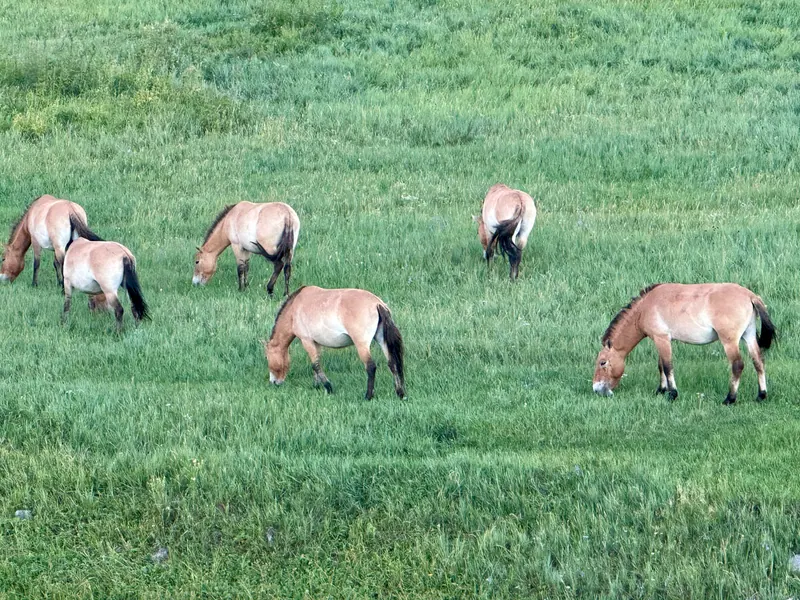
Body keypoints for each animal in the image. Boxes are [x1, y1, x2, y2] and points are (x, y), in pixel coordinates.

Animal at [264, 286, 405, 400]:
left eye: (268, 358)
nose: (274, 382)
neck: (294, 309)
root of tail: (377, 304)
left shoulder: (307, 340)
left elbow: (315, 365)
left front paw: (328, 387)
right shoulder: (316, 343)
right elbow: (317, 364)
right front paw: (317, 385)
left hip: (362, 344)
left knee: (371, 367)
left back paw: (368, 396)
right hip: (381, 340)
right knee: (392, 363)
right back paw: (400, 393)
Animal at [592, 283, 776, 405]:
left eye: (603, 362)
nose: (596, 389)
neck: (645, 307)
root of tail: (750, 295)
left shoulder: (661, 338)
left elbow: (667, 367)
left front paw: (672, 394)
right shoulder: (663, 340)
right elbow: (661, 366)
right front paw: (661, 390)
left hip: (729, 341)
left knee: (738, 365)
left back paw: (730, 399)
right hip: (749, 336)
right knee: (758, 362)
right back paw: (761, 395)